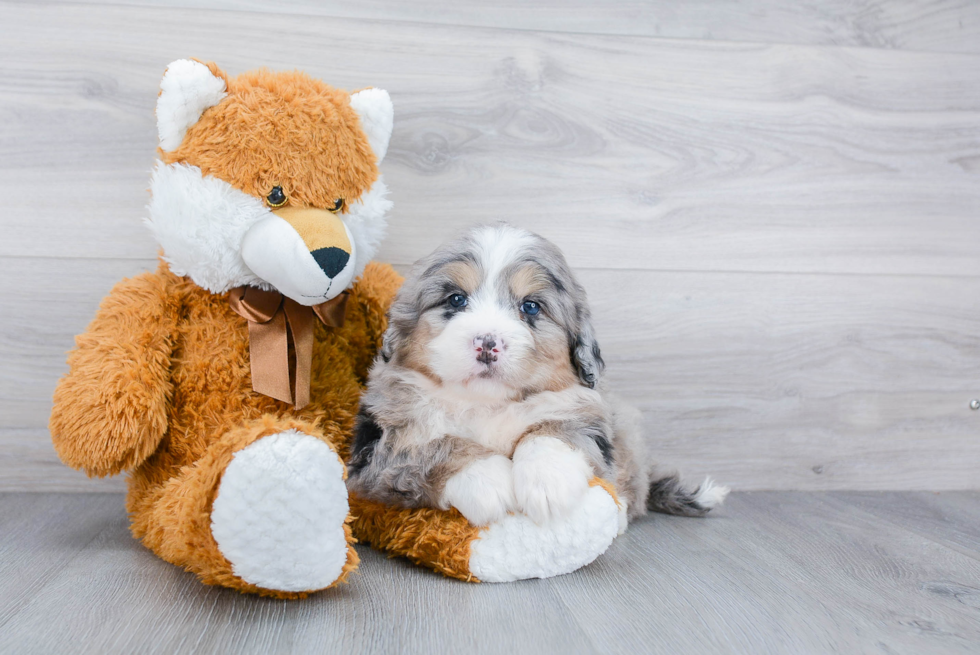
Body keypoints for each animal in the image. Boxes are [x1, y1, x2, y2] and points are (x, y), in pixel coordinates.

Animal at [346, 226, 728, 528]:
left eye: (530, 306)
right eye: (455, 299)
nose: (487, 342)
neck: (488, 404)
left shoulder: (587, 413)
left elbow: (554, 429)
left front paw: (548, 483)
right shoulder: (376, 449)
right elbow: (431, 445)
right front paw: (489, 482)